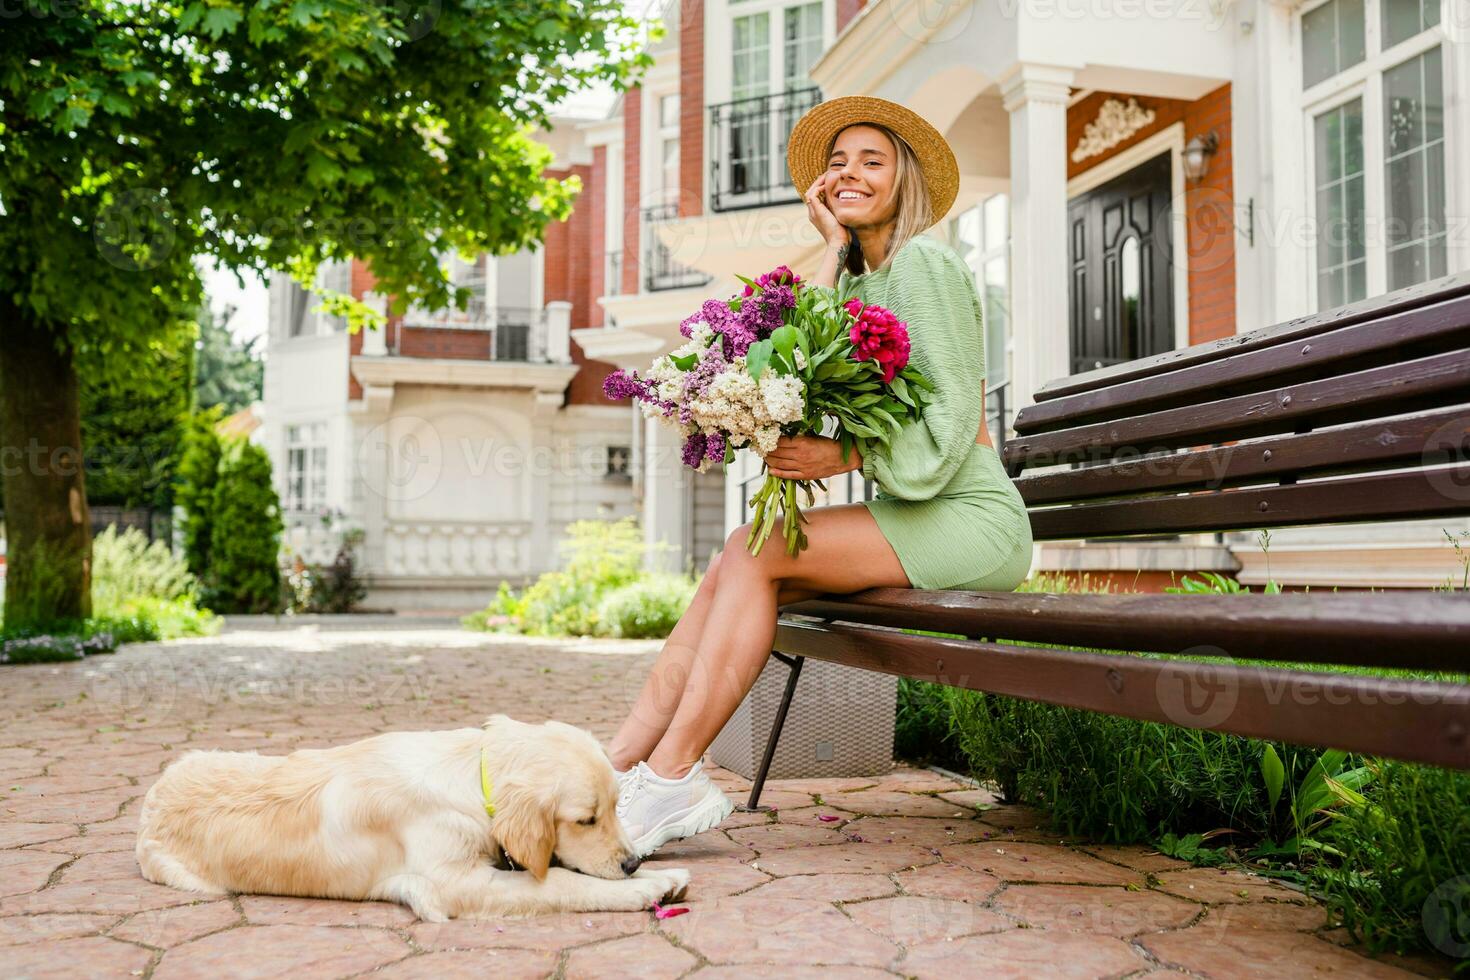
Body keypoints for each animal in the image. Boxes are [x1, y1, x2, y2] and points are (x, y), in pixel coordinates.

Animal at [138, 714, 687, 922]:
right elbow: (562, 883)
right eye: (585, 819)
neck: (472, 777)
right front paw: (648, 887)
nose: (633, 863)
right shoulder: (453, 884)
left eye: (616, 807)